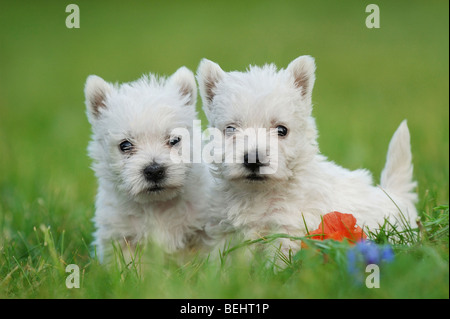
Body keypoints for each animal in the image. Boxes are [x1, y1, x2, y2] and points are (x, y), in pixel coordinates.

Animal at [85, 66, 213, 264]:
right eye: (125, 145)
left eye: (174, 140)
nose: (154, 171)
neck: (157, 205)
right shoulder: (120, 237)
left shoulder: (202, 232)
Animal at [197, 55, 418, 260]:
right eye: (230, 129)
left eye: (282, 130)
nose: (253, 159)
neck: (257, 194)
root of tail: (395, 194)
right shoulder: (224, 230)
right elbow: (220, 261)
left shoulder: (287, 230)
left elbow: (276, 262)